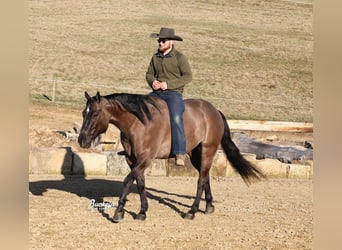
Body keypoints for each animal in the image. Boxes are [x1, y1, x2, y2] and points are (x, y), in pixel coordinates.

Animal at [79, 92, 266, 223]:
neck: (138, 123)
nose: (82, 140)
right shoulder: (133, 160)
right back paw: (209, 206)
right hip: (195, 155)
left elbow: (127, 181)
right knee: (205, 176)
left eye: (95, 114)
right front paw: (142, 212)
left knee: (201, 180)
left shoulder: (145, 159)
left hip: (207, 151)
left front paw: (119, 212)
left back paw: (192, 211)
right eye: (83, 113)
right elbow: (140, 183)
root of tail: (214, 111)